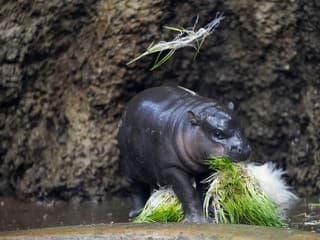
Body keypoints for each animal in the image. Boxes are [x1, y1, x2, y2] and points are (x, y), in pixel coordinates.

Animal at [117, 85, 250, 222]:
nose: (244, 149)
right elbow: (187, 191)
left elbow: (204, 190)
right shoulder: (171, 168)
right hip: (130, 166)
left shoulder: (206, 167)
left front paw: (209, 215)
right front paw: (198, 220)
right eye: (217, 133)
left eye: (242, 127)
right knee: (136, 188)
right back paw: (136, 213)